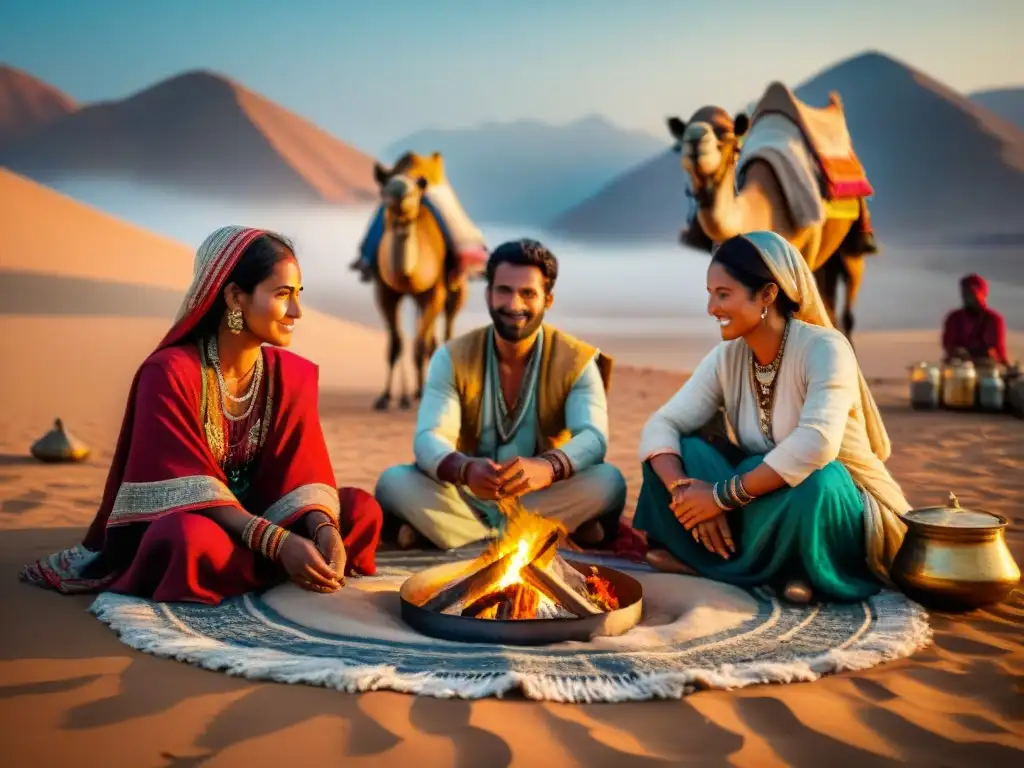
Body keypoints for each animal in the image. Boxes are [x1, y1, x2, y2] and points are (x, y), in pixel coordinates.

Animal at [370, 161, 466, 411]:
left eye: (412, 192)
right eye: (385, 190)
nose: (399, 196)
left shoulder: (433, 293)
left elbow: (420, 345)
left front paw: (422, 394)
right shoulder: (385, 292)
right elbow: (395, 343)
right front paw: (385, 397)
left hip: (455, 292)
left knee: (444, 332)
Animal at [667, 95, 876, 339]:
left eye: (727, 136)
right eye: (680, 141)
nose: (695, 138)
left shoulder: (805, 252)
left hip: (851, 248)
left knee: (846, 308)